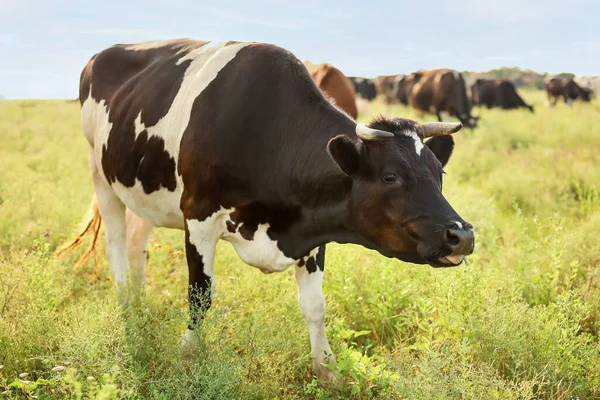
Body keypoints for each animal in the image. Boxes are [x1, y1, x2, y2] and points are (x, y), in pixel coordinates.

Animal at [62, 39, 474, 380]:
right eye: (391, 176)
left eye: (439, 173)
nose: (462, 234)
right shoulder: (198, 215)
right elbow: (200, 295)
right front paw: (188, 358)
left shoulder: (314, 229)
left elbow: (315, 306)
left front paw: (327, 371)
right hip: (101, 175)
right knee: (116, 247)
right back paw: (127, 314)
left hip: (144, 191)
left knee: (136, 244)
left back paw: (141, 304)